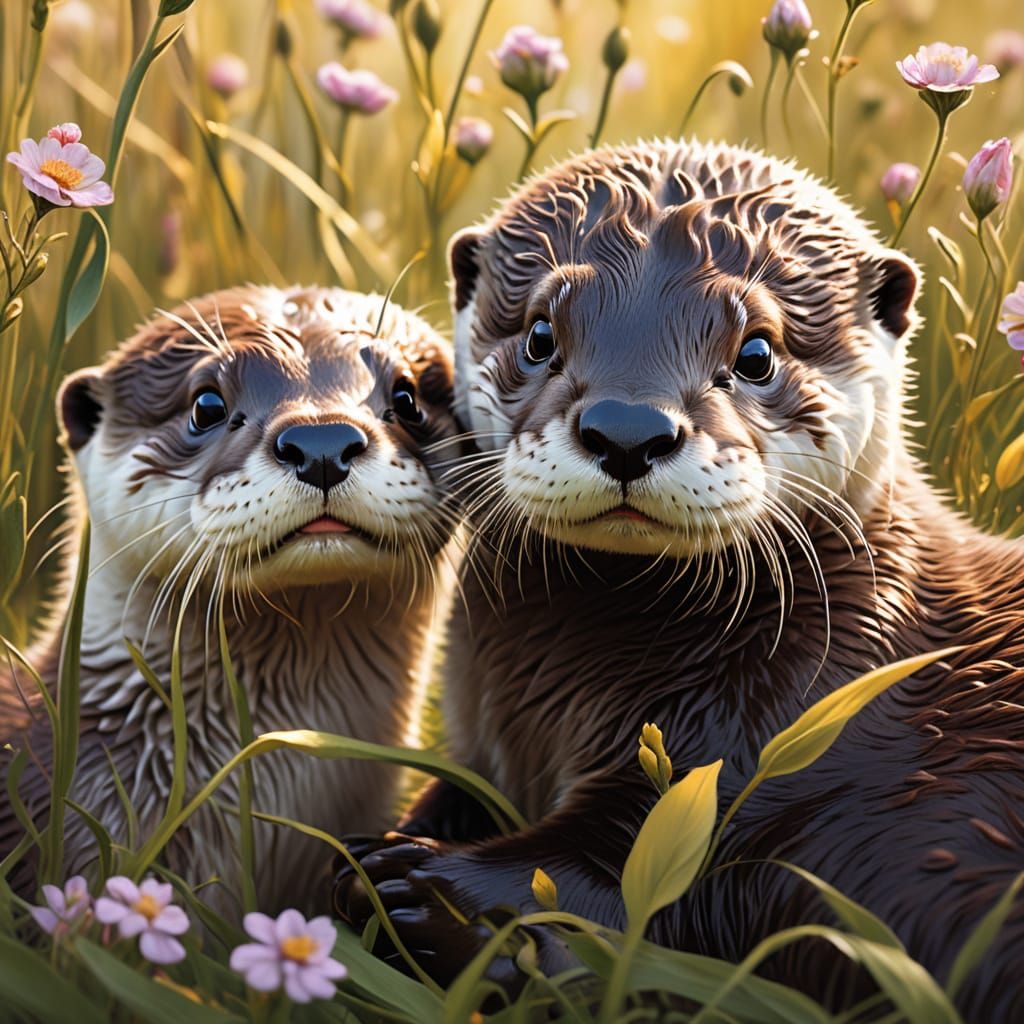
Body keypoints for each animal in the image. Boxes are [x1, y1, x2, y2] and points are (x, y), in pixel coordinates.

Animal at [334, 140, 1024, 1018]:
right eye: (539, 334)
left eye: (756, 352)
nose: (628, 428)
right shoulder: (485, 741)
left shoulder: (758, 747)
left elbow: (631, 873)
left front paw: (415, 884)